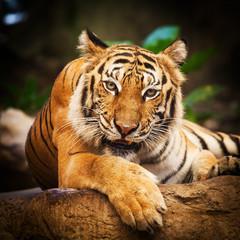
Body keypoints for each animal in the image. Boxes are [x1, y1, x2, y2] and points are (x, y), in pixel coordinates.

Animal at [24, 27, 240, 232]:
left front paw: (221, 167)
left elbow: (205, 162)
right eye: (111, 86)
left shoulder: (194, 154)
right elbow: (103, 164)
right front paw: (142, 203)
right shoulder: (71, 162)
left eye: (150, 92)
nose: (125, 128)